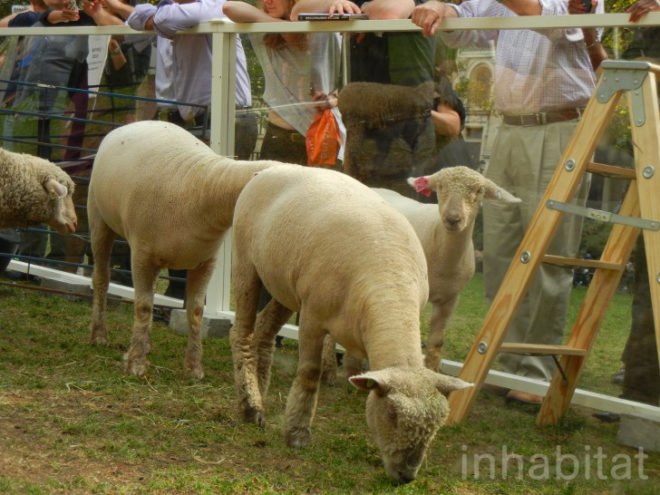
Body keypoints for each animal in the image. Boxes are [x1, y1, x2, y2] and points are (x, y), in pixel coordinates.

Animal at [87, 120, 278, 378]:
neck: (202, 186)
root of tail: (130, 125)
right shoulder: (141, 255)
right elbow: (143, 307)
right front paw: (136, 363)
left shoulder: (206, 261)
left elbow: (196, 312)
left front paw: (194, 367)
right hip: (98, 218)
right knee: (101, 279)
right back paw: (99, 335)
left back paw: (145, 343)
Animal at [229, 164, 471, 484]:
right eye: (392, 414)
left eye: (437, 425)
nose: (406, 476)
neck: (390, 282)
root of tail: (272, 167)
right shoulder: (313, 317)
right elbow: (310, 373)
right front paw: (297, 433)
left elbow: (357, 369)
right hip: (246, 262)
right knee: (242, 333)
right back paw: (250, 405)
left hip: (285, 285)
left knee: (265, 330)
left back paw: (260, 389)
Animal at [321, 166, 520, 382]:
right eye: (440, 187)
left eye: (479, 191)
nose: (453, 219)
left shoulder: (450, 299)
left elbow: (437, 342)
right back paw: (330, 370)